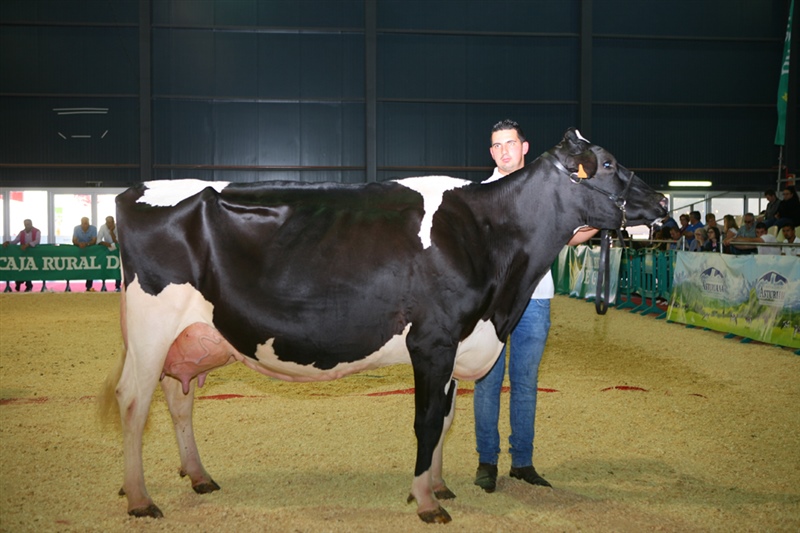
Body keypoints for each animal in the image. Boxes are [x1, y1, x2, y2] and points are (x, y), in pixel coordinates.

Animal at [103, 128, 667, 523]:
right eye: (609, 164)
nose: (663, 202)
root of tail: (130, 194)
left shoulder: (457, 344)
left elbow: (446, 420)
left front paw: (438, 486)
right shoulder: (433, 341)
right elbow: (425, 421)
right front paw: (426, 502)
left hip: (190, 337)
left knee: (178, 398)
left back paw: (198, 476)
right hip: (151, 327)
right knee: (134, 402)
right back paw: (139, 499)